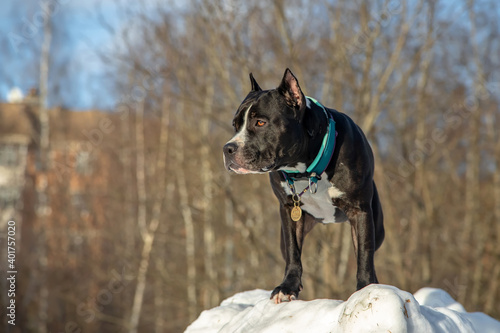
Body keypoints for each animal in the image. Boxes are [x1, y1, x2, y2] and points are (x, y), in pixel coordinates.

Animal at [222, 68, 382, 302]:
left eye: (260, 122)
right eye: (235, 125)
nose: (228, 148)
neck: (307, 171)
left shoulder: (360, 210)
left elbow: (364, 253)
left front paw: (365, 288)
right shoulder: (289, 210)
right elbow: (293, 252)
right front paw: (287, 287)